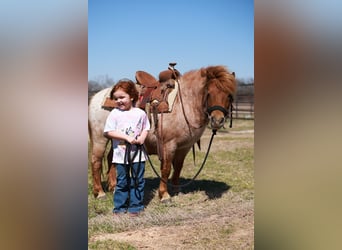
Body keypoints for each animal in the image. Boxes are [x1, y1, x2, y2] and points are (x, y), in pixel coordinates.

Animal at [88, 65, 236, 202]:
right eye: (209, 93)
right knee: (96, 161)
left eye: (229, 95)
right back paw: (100, 192)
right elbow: (166, 168)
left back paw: (113, 187)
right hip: (100, 139)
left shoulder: (184, 147)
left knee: (111, 159)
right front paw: (164, 195)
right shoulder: (168, 145)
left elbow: (178, 167)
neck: (183, 104)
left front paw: (176, 190)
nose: (217, 120)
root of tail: (97, 96)